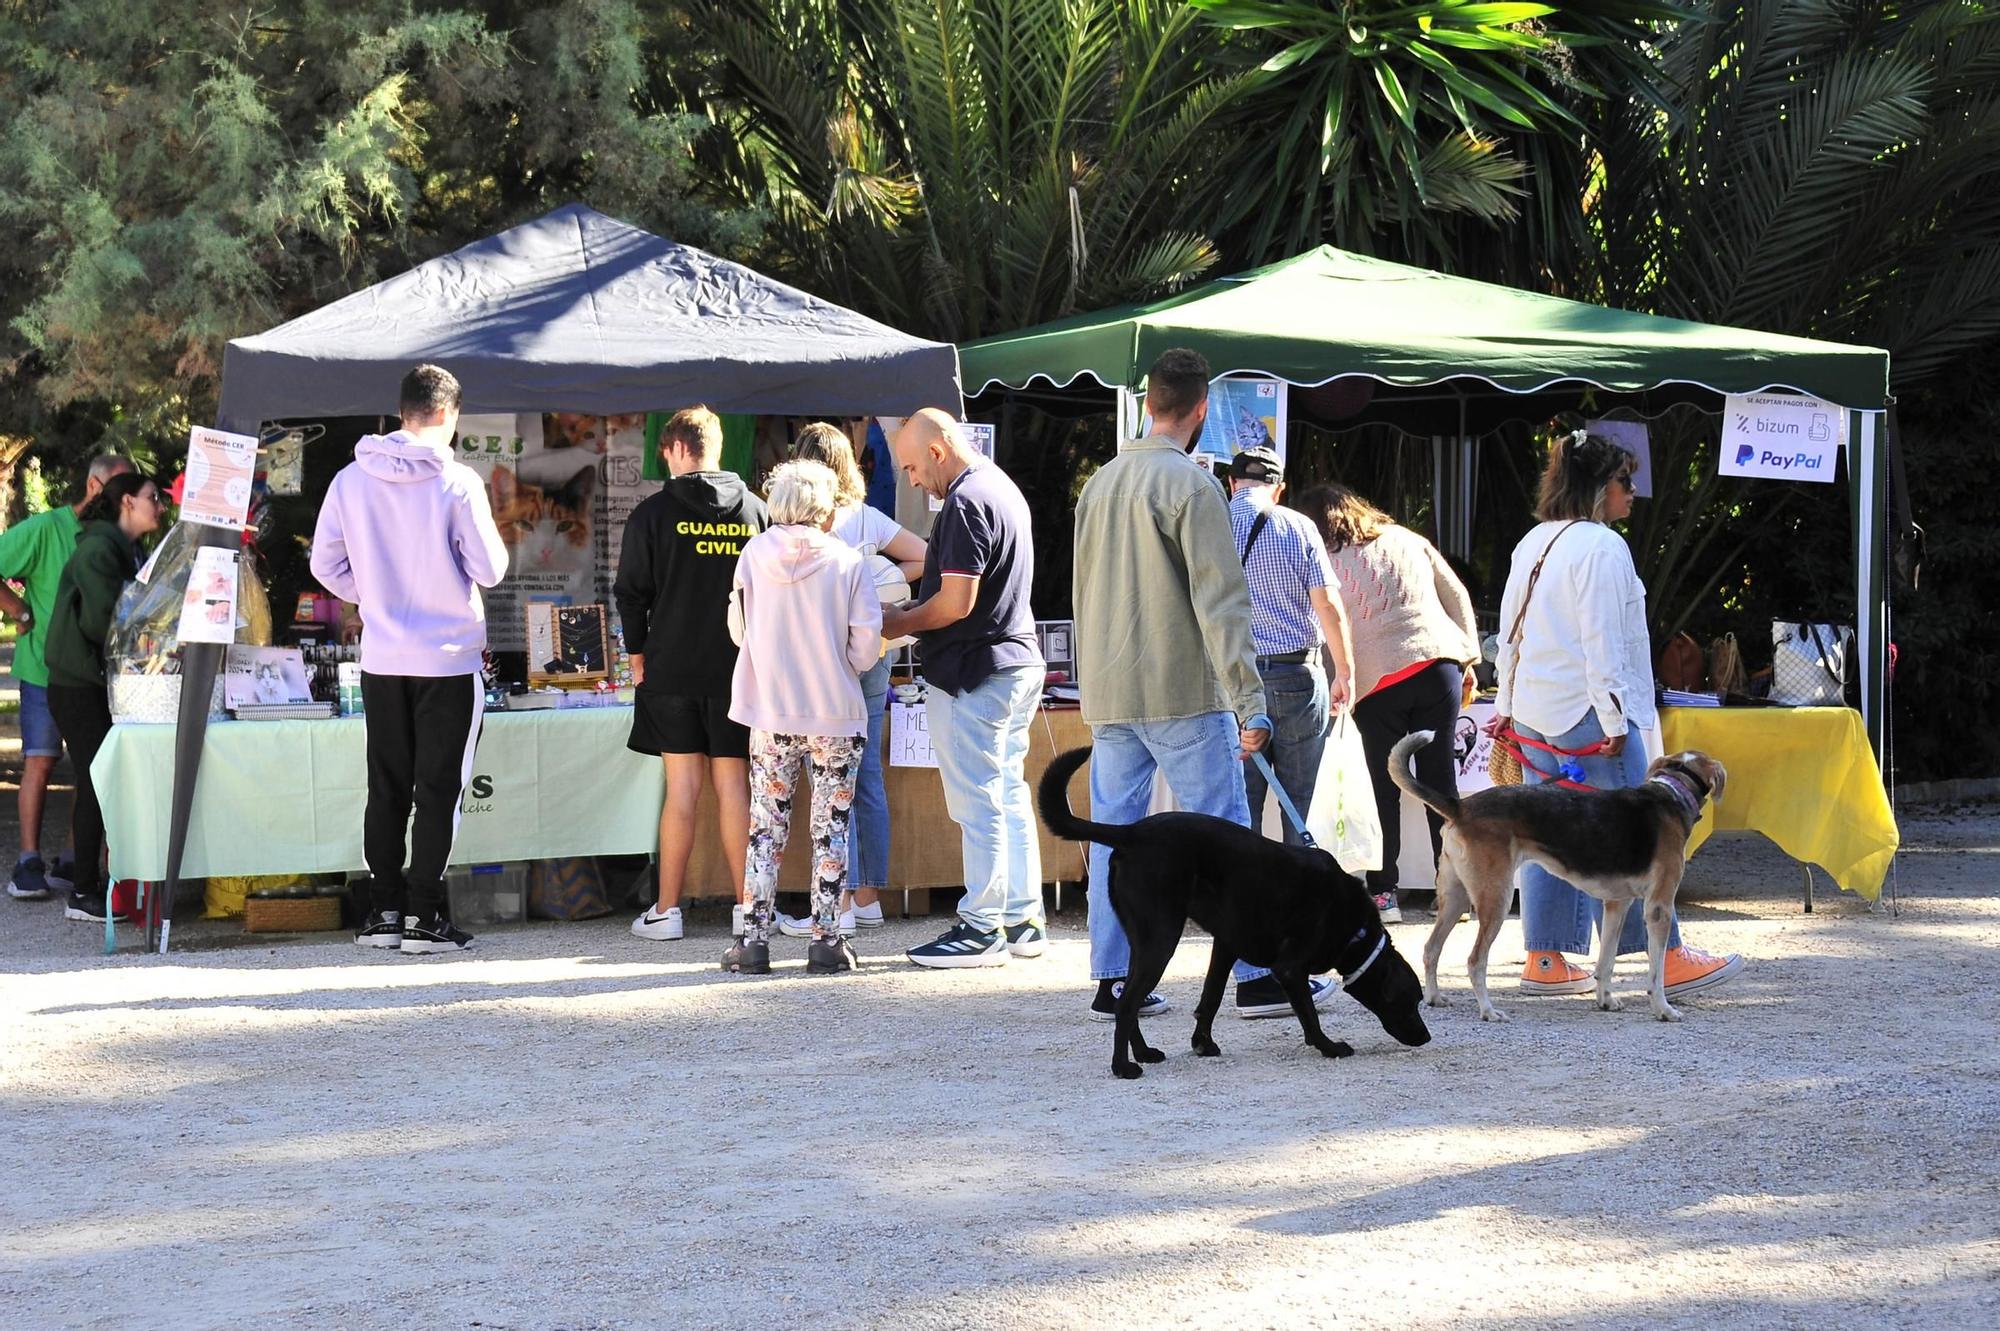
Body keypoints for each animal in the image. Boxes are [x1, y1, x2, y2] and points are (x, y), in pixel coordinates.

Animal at [1040, 739, 1432, 1071]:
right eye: (1410, 1000)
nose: (1426, 1036)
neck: (1355, 927)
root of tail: (1130, 833)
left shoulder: (1225, 947)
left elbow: (1210, 998)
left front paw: (1202, 1043)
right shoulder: (1290, 969)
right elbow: (1308, 1015)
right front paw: (1328, 1046)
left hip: (1143, 940)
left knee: (1130, 998)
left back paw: (1145, 1053)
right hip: (1162, 939)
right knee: (1127, 1003)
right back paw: (1123, 1067)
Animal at [1384, 731, 1728, 1019]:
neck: (1672, 791)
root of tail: (1461, 806)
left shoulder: (1617, 905)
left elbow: (1606, 961)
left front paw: (1605, 999)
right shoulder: (1658, 907)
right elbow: (1655, 972)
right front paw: (1663, 1009)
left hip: (1455, 898)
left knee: (1431, 949)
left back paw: (1434, 997)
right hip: (1496, 898)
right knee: (1475, 960)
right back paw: (1488, 1011)